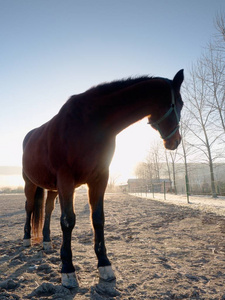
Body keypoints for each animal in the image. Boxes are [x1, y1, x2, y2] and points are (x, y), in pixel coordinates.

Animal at [22, 69, 184, 288]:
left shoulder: (99, 179)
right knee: (30, 208)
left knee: (47, 211)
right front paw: (68, 269)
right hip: (30, 184)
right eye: (179, 103)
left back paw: (46, 241)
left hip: (53, 188)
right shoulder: (66, 180)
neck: (89, 123)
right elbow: (68, 221)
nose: (175, 141)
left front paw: (105, 265)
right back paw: (26, 238)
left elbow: (98, 219)